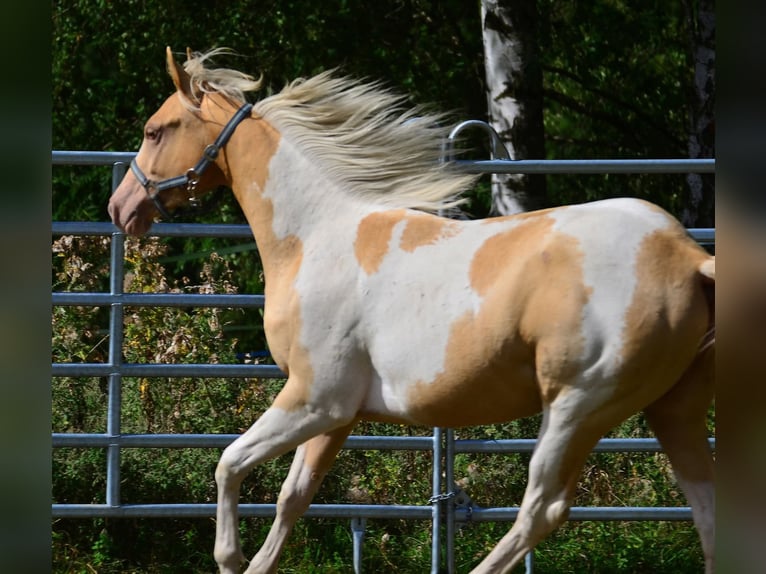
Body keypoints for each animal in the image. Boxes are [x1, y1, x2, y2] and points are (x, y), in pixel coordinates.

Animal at [108, 48, 715, 574]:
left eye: (156, 130)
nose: (120, 207)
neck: (314, 236)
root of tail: (688, 256)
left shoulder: (315, 399)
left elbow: (229, 463)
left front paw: (230, 559)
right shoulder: (340, 415)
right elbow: (292, 497)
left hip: (576, 407)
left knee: (540, 510)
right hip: (671, 409)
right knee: (709, 512)